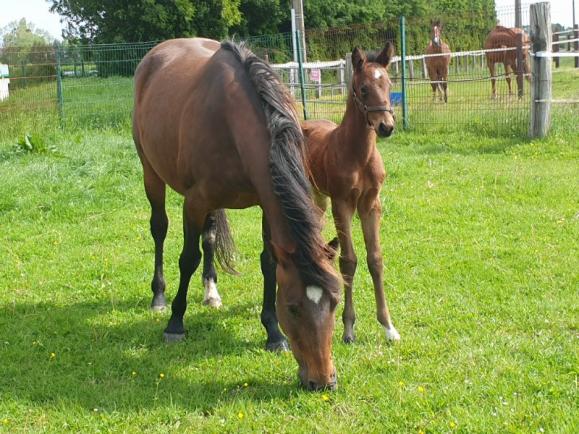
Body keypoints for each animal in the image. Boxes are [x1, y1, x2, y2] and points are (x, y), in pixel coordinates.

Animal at [134, 37, 342, 390]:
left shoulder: (266, 203)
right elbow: (187, 258)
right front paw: (175, 323)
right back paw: (159, 296)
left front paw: (273, 333)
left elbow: (268, 263)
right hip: (152, 173)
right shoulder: (193, 202)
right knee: (160, 229)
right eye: (293, 308)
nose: (322, 381)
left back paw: (211, 293)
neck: (230, 122)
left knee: (209, 237)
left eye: (335, 302)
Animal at [302, 42, 402, 344]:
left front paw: (388, 326)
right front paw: (348, 328)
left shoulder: (371, 204)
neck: (359, 156)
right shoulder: (342, 204)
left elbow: (375, 259)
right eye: (363, 89)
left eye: (389, 83)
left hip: (319, 198)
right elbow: (349, 261)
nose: (386, 126)